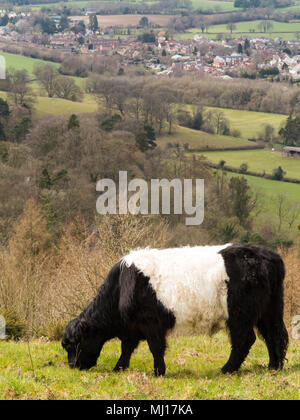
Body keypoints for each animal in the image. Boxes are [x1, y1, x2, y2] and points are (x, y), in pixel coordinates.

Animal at [62, 244, 290, 376]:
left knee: (245, 340)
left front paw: (158, 372)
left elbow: (155, 348)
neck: (123, 286)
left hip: (239, 314)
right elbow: (126, 348)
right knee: (274, 335)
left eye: (74, 344)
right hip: (269, 310)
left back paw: (226, 369)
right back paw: (274, 366)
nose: (73, 366)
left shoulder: (151, 323)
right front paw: (119, 368)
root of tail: (266, 255)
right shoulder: (132, 328)